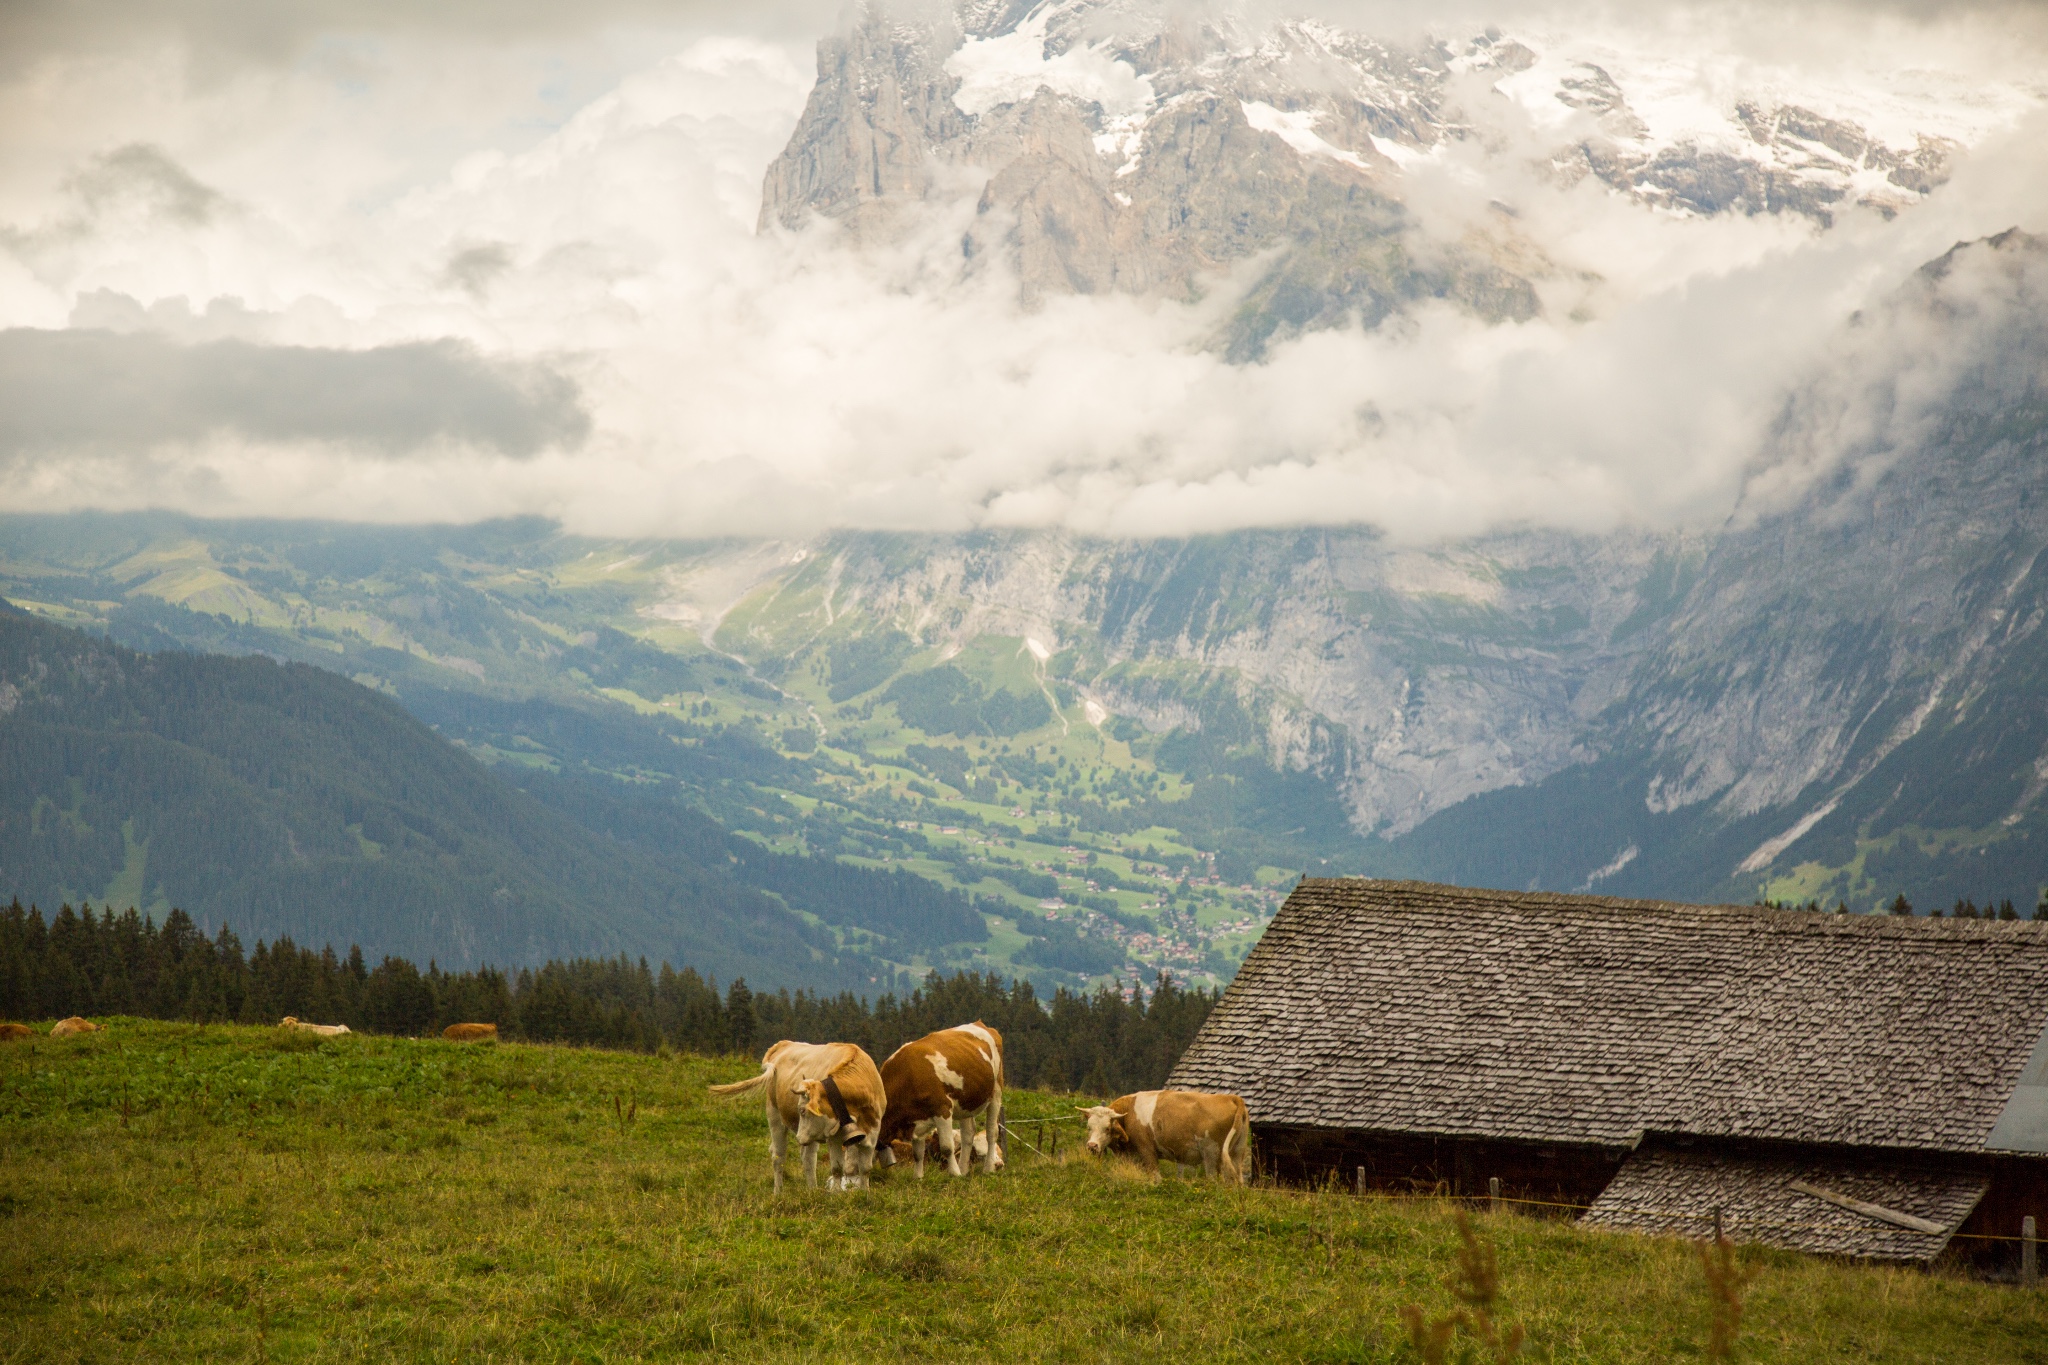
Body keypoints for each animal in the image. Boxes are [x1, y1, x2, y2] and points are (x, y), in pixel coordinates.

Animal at [708, 1047, 884, 1195]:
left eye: (803, 1110)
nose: (799, 1137)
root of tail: (783, 1045)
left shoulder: (872, 1133)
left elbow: (865, 1168)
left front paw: (865, 1194)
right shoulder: (834, 1136)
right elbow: (836, 1168)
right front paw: (836, 1195)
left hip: (810, 1135)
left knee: (808, 1159)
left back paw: (813, 1191)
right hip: (775, 1117)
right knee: (778, 1158)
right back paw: (778, 1193)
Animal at [876, 1019, 1003, 1178]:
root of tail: (980, 1024)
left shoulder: (942, 1109)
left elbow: (947, 1147)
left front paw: (954, 1174)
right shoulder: (916, 1119)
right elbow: (917, 1153)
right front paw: (918, 1177)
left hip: (996, 1092)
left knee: (992, 1132)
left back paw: (987, 1168)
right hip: (965, 1103)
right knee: (968, 1135)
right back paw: (964, 1169)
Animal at [1073, 1088, 1245, 1186]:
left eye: (1107, 1128)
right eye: (1088, 1127)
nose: (1092, 1146)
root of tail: (1232, 1097)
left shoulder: (1146, 1150)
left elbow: (1155, 1177)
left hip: (1211, 1153)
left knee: (1213, 1178)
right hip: (1237, 1152)